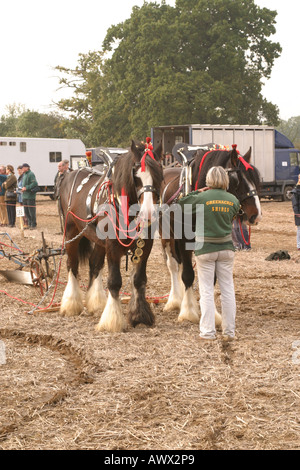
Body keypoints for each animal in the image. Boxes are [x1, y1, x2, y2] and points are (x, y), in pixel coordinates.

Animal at [57, 138, 163, 332]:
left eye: (159, 173)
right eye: (136, 175)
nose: (148, 213)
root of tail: (69, 174)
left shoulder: (145, 246)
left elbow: (139, 280)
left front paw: (140, 315)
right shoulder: (112, 246)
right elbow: (114, 282)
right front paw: (113, 320)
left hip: (98, 240)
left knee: (94, 265)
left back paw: (96, 303)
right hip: (71, 232)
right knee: (72, 265)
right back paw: (71, 304)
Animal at [161, 145, 262, 324]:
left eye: (256, 179)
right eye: (237, 180)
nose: (255, 215)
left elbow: (211, 279)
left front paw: (212, 314)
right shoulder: (184, 240)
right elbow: (188, 274)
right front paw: (188, 312)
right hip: (165, 234)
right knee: (173, 265)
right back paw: (174, 301)